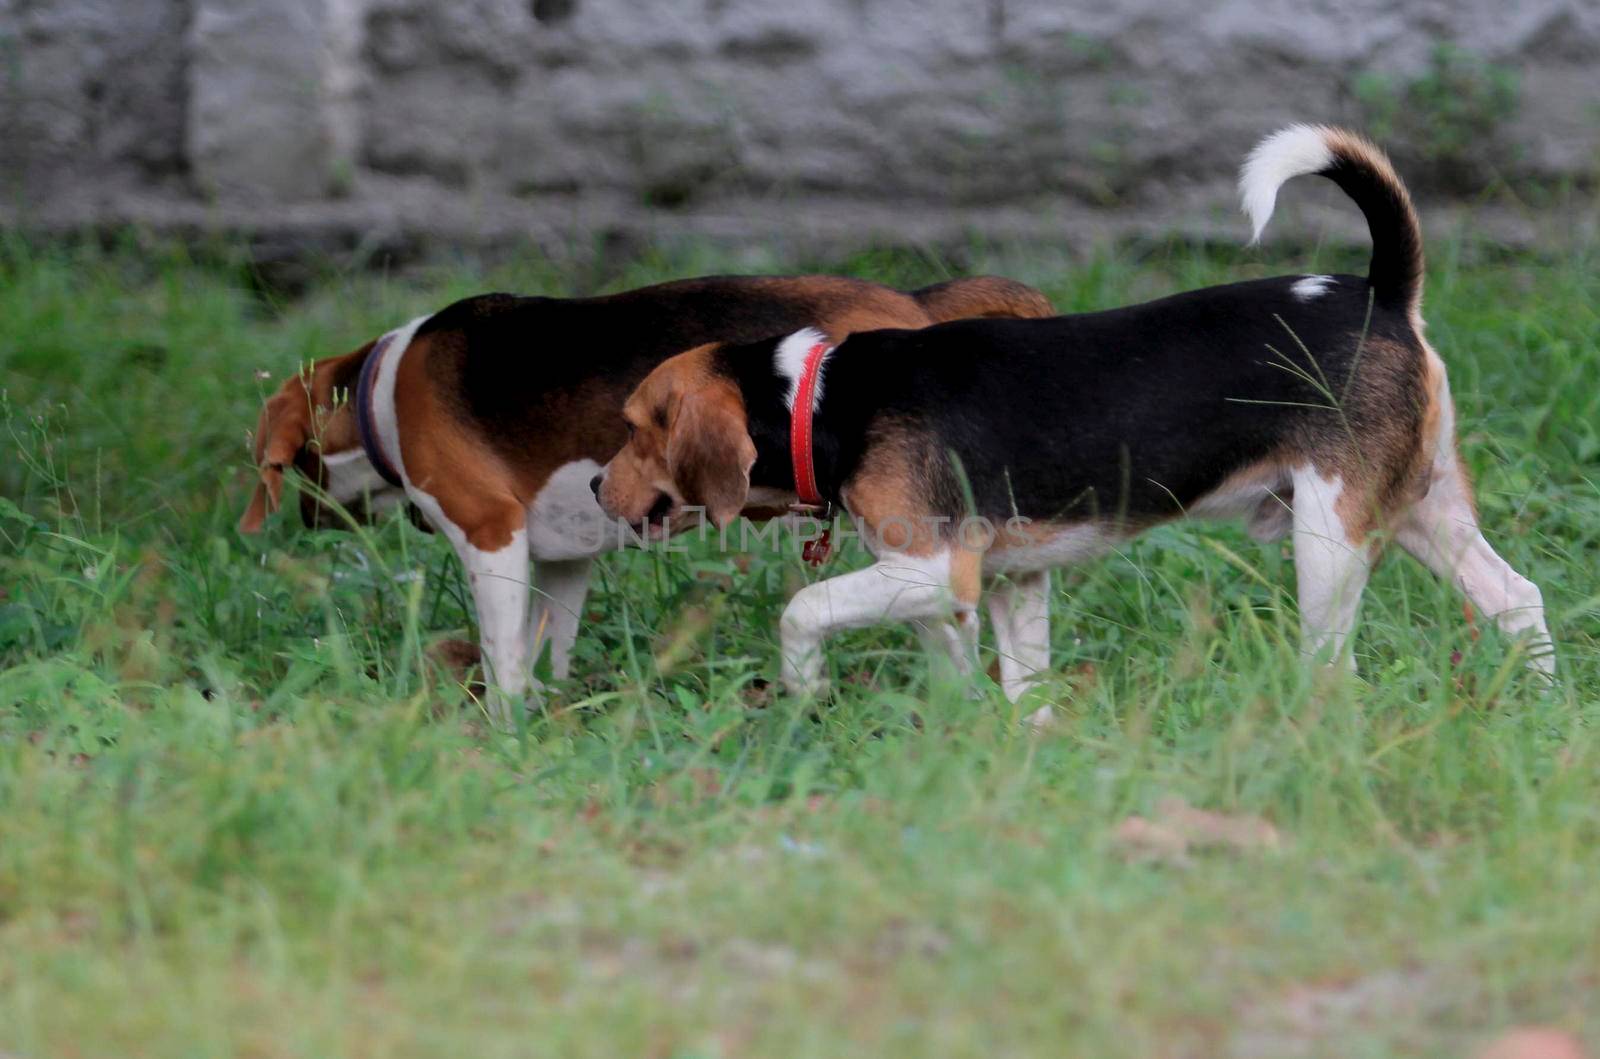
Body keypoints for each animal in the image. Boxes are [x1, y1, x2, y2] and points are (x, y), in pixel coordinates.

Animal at [236, 273, 1056, 723]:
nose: (308, 516)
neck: (380, 390)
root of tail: (916, 301)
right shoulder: (562, 563)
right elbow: (549, 648)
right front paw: (556, 712)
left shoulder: (492, 535)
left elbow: (502, 659)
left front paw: (501, 730)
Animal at [598, 124, 1548, 703]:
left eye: (639, 426)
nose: (601, 489)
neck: (820, 396)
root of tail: (1381, 293)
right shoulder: (999, 584)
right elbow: (1012, 685)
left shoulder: (933, 571)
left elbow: (802, 610)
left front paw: (805, 691)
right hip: (1426, 508)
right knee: (1517, 600)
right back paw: (1539, 708)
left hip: (1331, 537)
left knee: (1336, 663)